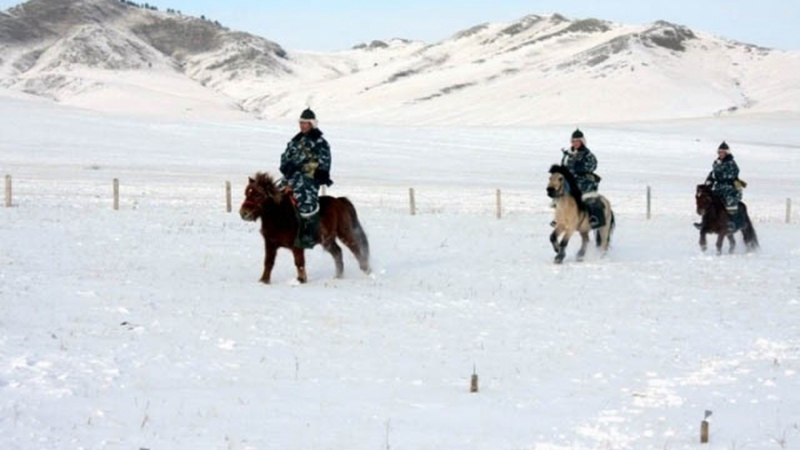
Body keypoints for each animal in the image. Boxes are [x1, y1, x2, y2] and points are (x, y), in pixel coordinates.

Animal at [239, 173, 374, 284]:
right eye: (246, 194)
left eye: (258, 195)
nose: (243, 213)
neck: (280, 217)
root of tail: (339, 201)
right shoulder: (270, 243)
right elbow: (268, 262)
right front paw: (264, 280)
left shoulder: (297, 246)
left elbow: (299, 262)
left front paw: (301, 280)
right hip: (327, 240)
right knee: (338, 252)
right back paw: (338, 276)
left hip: (344, 233)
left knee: (355, 248)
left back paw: (366, 271)